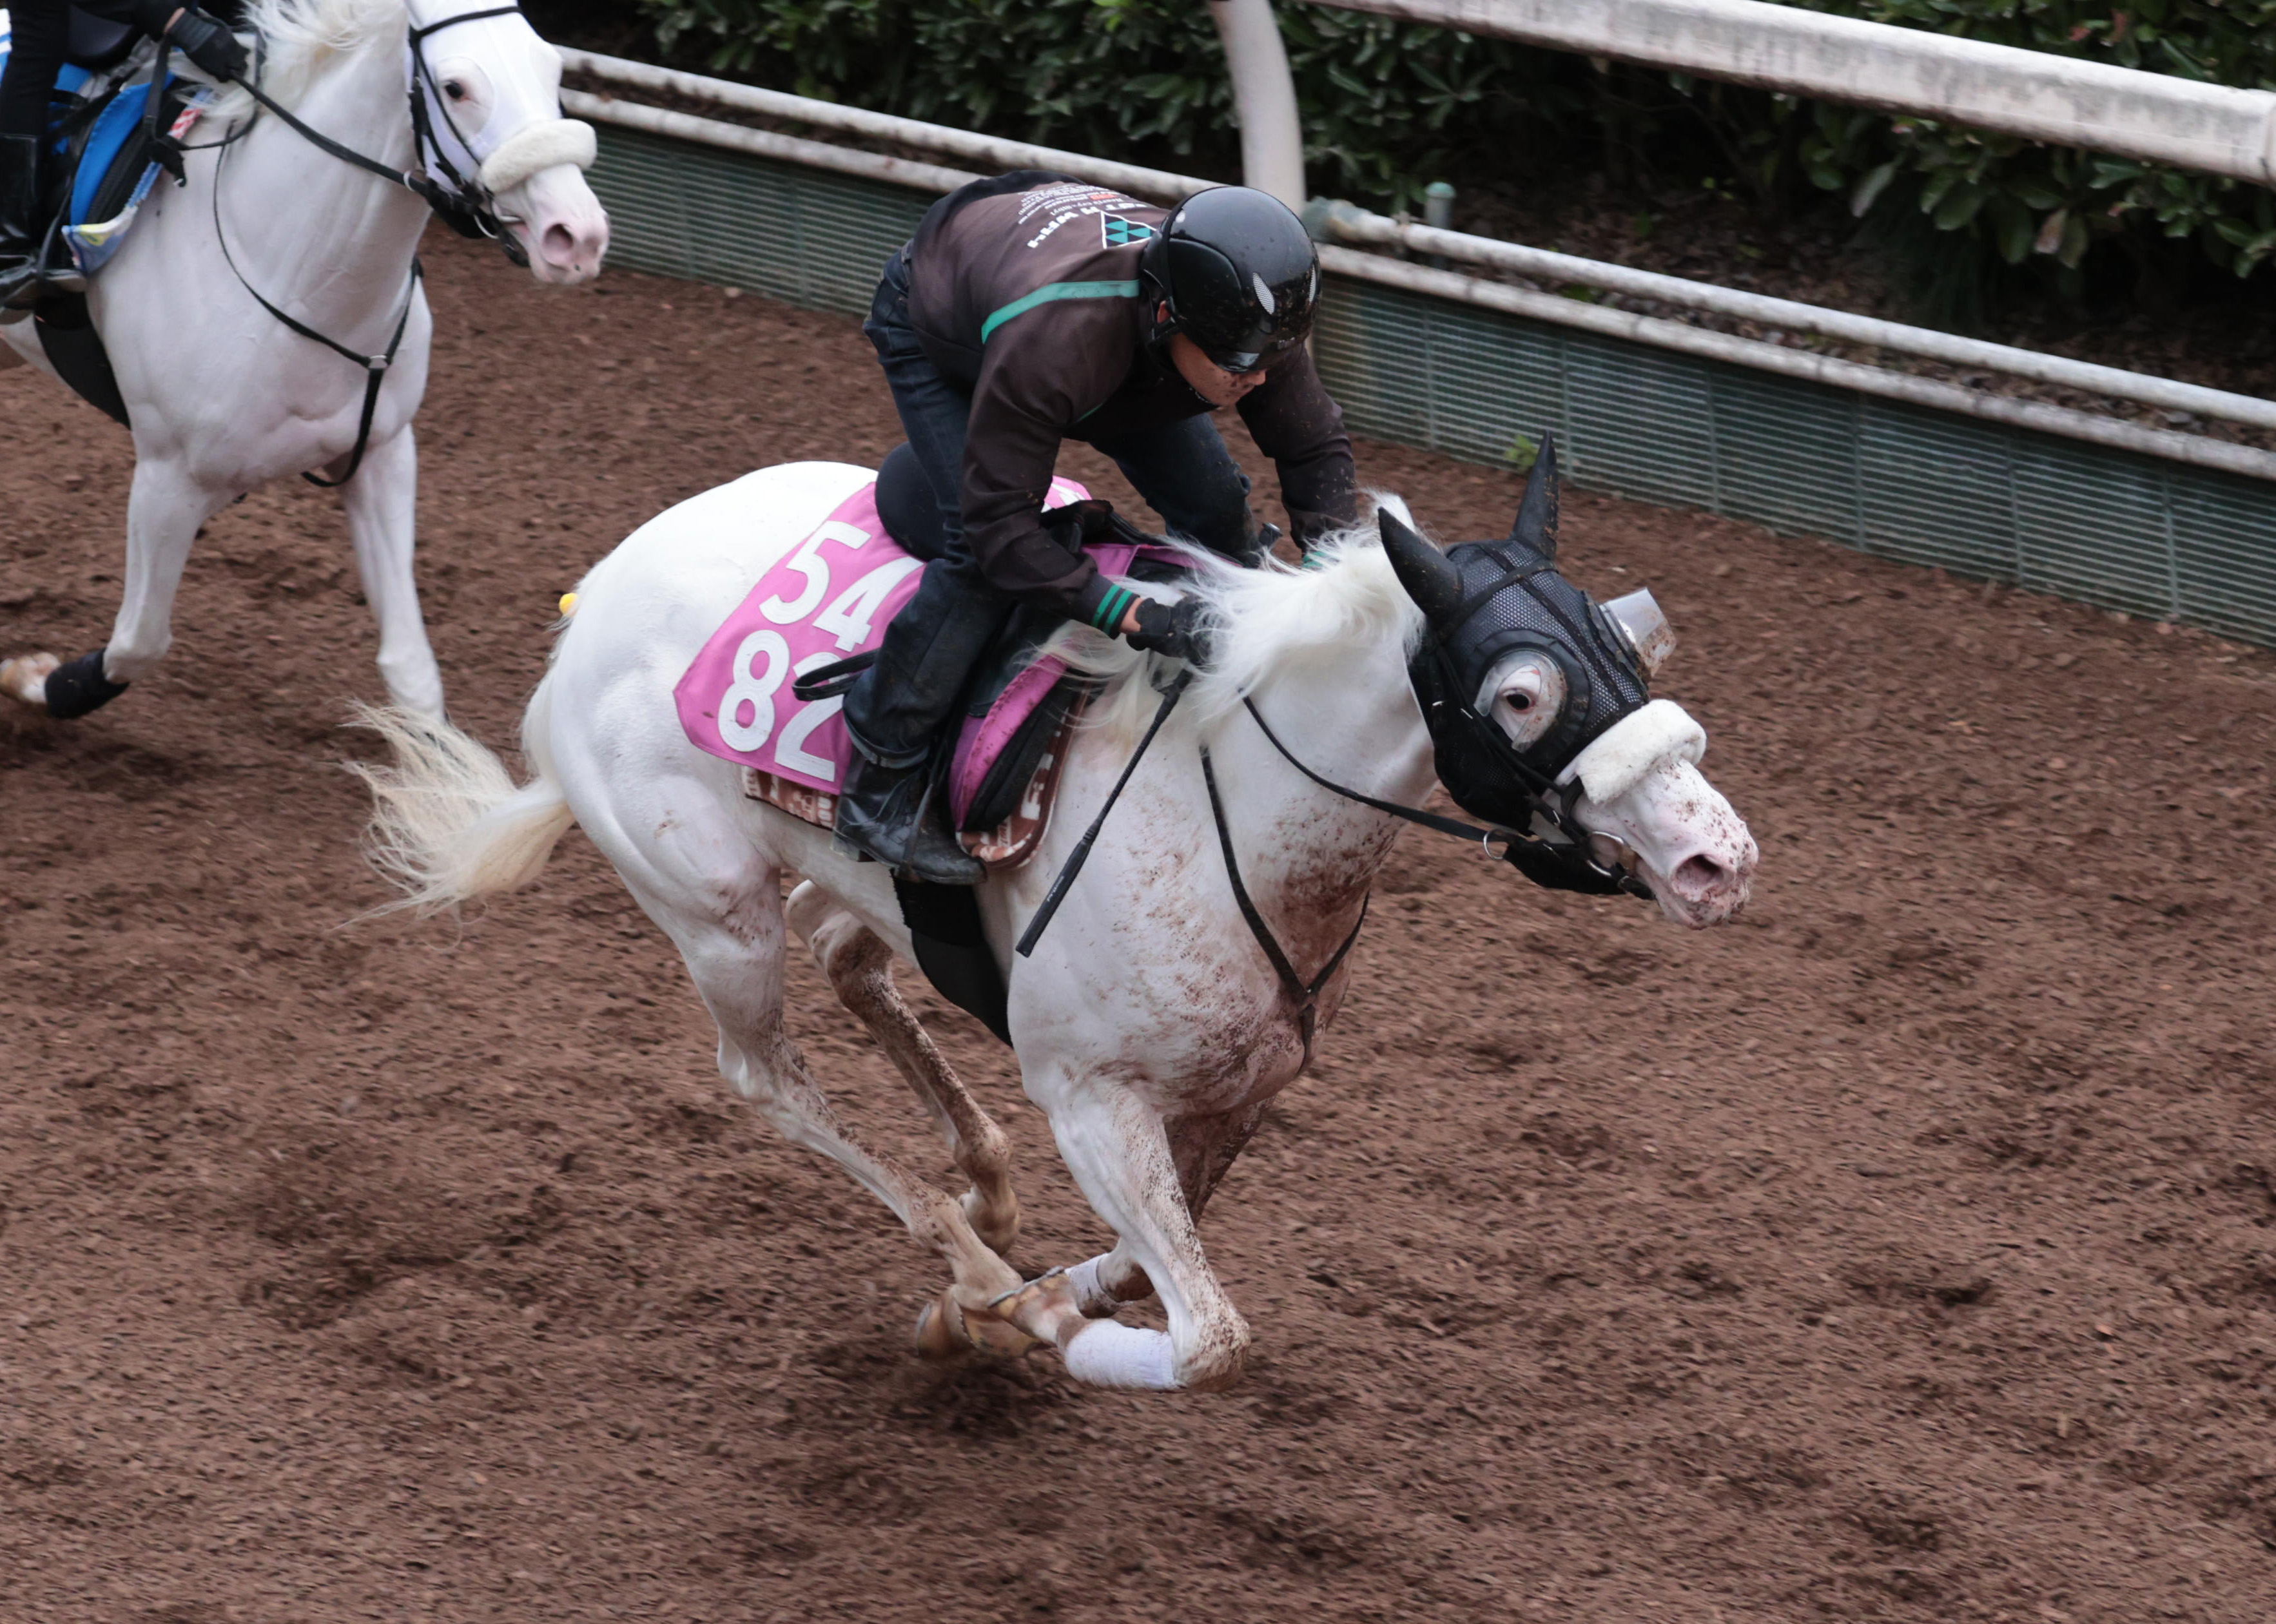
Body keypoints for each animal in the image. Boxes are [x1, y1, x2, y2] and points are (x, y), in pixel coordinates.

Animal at [0, 0, 608, 720]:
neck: (295, 276)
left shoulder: (380, 455)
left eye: (552, 67)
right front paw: (35, 678)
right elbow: (139, 642)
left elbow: (412, 672)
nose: (576, 237)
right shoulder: (167, 481)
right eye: (457, 88)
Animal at [347, 454, 1759, 1393]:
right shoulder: (1093, 1099)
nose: (1715, 858)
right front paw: (1018, 1318)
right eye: (1519, 694)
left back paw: (985, 1192)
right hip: (712, 915)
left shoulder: (1238, 1094)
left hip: (851, 877)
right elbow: (1208, 1337)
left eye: (1628, 637)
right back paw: (965, 1250)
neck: (1232, 813)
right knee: (766, 1078)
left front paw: (1024, 1304)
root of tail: (581, 624)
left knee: (848, 954)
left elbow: (1145, 1270)